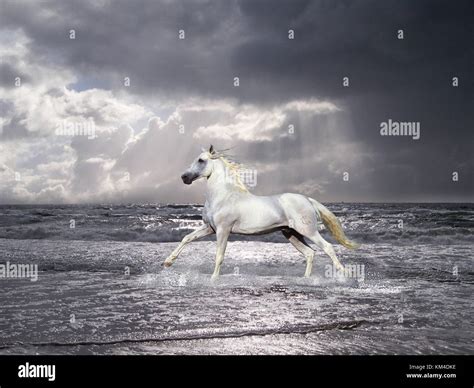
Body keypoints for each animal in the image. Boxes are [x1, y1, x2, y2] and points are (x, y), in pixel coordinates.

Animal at [164, 145, 360, 278]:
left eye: (201, 160)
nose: (184, 177)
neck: (223, 195)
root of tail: (307, 199)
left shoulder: (223, 230)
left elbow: (219, 256)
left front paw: (213, 279)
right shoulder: (209, 228)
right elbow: (187, 238)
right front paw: (168, 262)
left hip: (308, 231)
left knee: (327, 248)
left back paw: (344, 275)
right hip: (291, 234)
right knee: (310, 253)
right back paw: (306, 279)